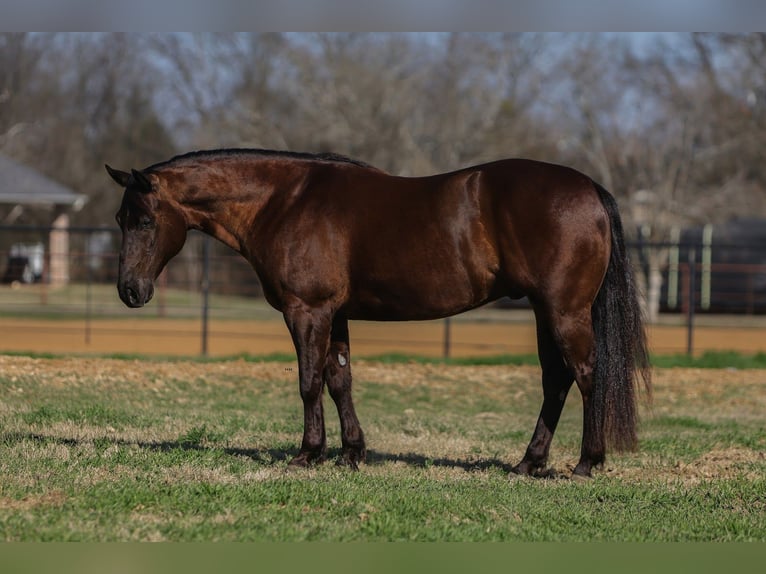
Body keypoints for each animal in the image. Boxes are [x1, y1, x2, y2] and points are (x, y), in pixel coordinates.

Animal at [106, 148, 651, 478]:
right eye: (120, 218)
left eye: (145, 220)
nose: (129, 291)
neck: (284, 202)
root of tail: (590, 189)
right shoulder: (335, 315)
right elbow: (339, 380)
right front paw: (352, 453)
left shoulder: (307, 311)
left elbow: (309, 382)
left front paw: (308, 453)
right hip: (543, 312)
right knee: (556, 380)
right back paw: (528, 463)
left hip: (564, 312)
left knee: (586, 374)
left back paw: (586, 462)